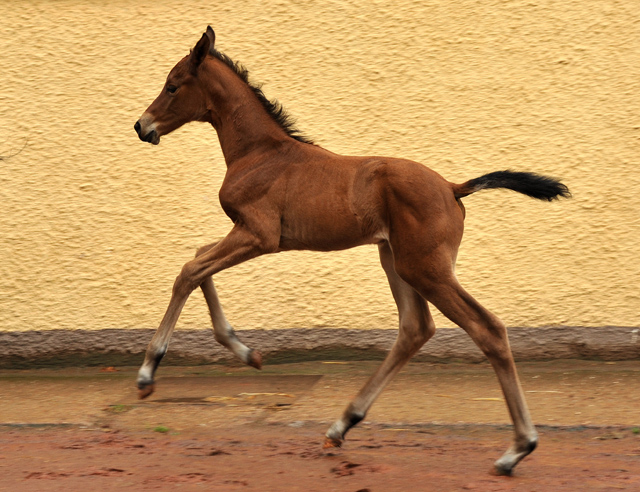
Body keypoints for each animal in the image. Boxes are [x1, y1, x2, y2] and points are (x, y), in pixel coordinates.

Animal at [134, 26, 568, 472]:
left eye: (172, 86)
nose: (141, 125)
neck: (260, 152)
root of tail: (452, 187)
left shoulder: (259, 235)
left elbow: (188, 270)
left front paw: (148, 373)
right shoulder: (247, 234)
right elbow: (199, 260)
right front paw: (248, 352)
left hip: (425, 268)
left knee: (487, 329)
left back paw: (517, 449)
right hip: (396, 260)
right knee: (415, 328)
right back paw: (342, 425)